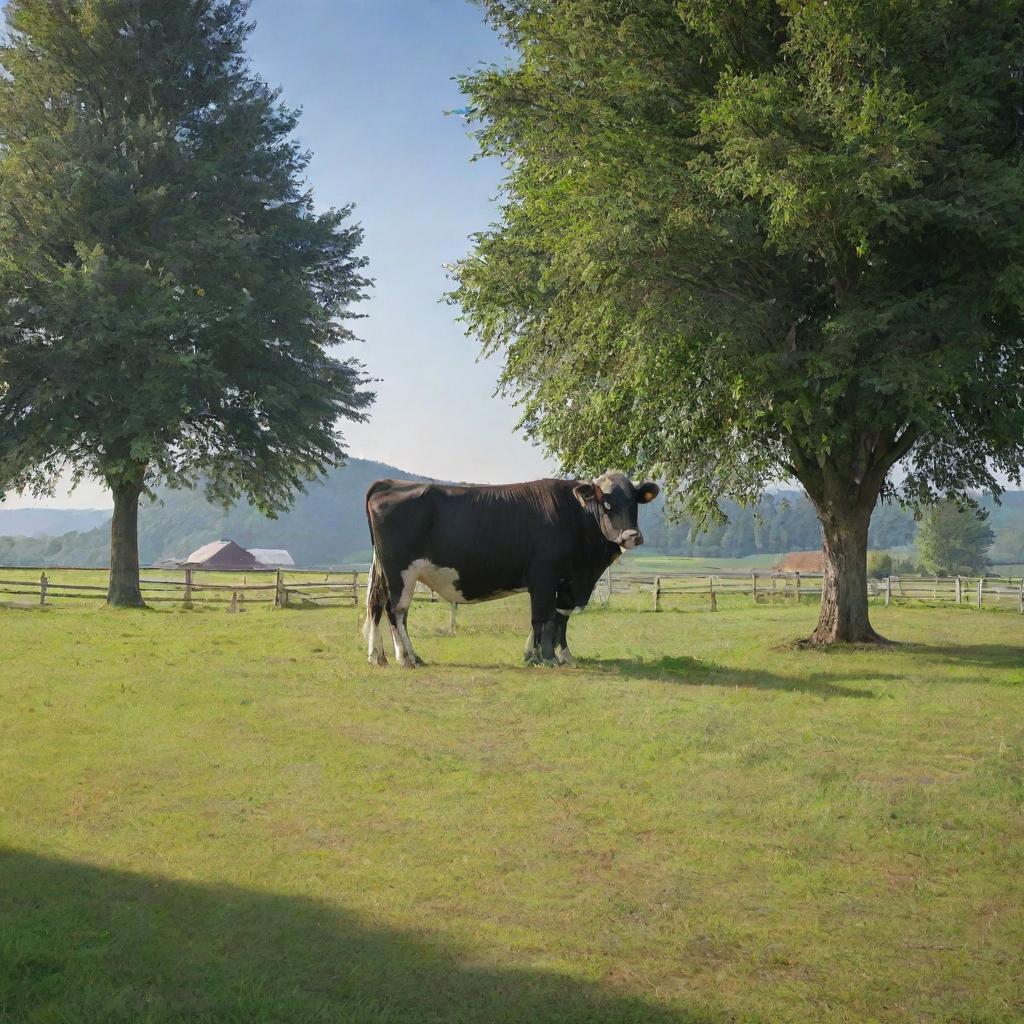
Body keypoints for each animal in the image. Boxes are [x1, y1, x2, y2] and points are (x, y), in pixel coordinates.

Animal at [364, 468, 659, 667]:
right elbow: (541, 617)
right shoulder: (544, 575)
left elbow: (558, 617)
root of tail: (388, 483)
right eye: (607, 503)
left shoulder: (566, 583)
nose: (632, 536)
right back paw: (409, 657)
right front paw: (543, 658)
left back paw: (379, 657)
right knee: (396, 611)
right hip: (401, 572)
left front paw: (559, 655)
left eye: (634, 502)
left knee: (378, 606)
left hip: (386, 571)